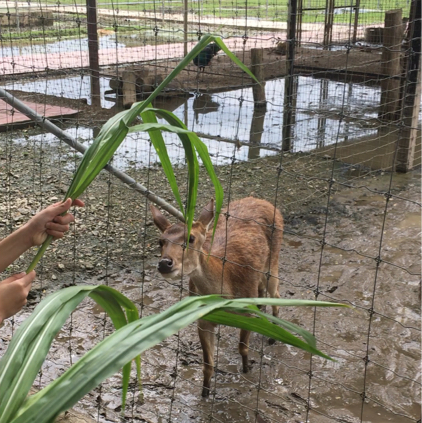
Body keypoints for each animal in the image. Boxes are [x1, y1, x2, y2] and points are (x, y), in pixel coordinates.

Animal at [150, 197, 286, 400]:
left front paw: (246, 369)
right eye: (161, 241)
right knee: (263, 292)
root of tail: (263, 201)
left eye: (191, 238)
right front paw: (205, 393)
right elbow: (208, 364)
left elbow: (242, 347)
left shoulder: (246, 308)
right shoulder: (202, 318)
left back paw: (273, 335)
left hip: (273, 258)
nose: (165, 263)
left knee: (276, 293)